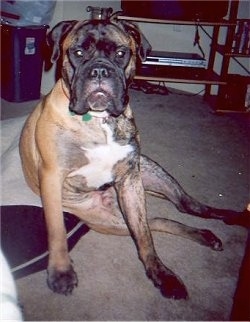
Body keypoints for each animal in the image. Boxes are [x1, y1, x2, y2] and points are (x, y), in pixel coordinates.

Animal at [20, 17, 250, 300]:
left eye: (121, 54)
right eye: (78, 52)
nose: (99, 71)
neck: (99, 120)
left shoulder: (130, 180)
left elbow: (144, 237)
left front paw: (161, 274)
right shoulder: (52, 176)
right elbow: (56, 230)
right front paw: (61, 272)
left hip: (148, 175)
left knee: (181, 209)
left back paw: (226, 222)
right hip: (110, 218)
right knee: (159, 221)